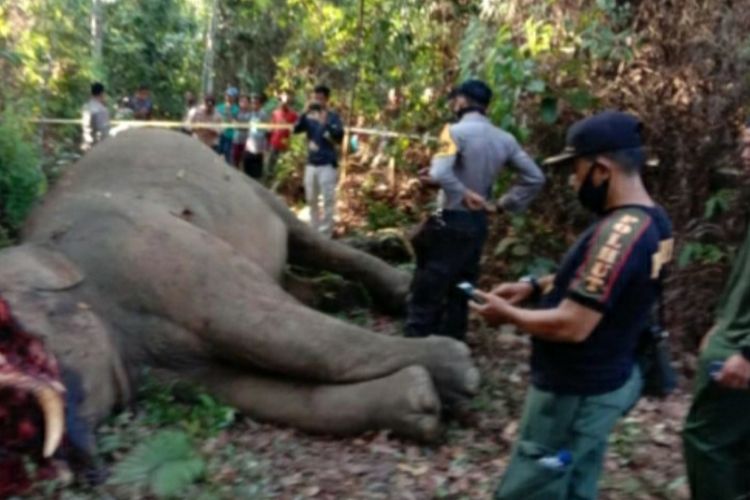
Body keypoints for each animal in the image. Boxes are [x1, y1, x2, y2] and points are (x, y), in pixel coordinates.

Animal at [0, 127, 482, 462]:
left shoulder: (141, 245)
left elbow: (273, 328)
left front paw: (460, 373)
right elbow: (253, 390)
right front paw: (421, 405)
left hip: (245, 182)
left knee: (302, 237)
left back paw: (395, 289)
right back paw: (340, 296)